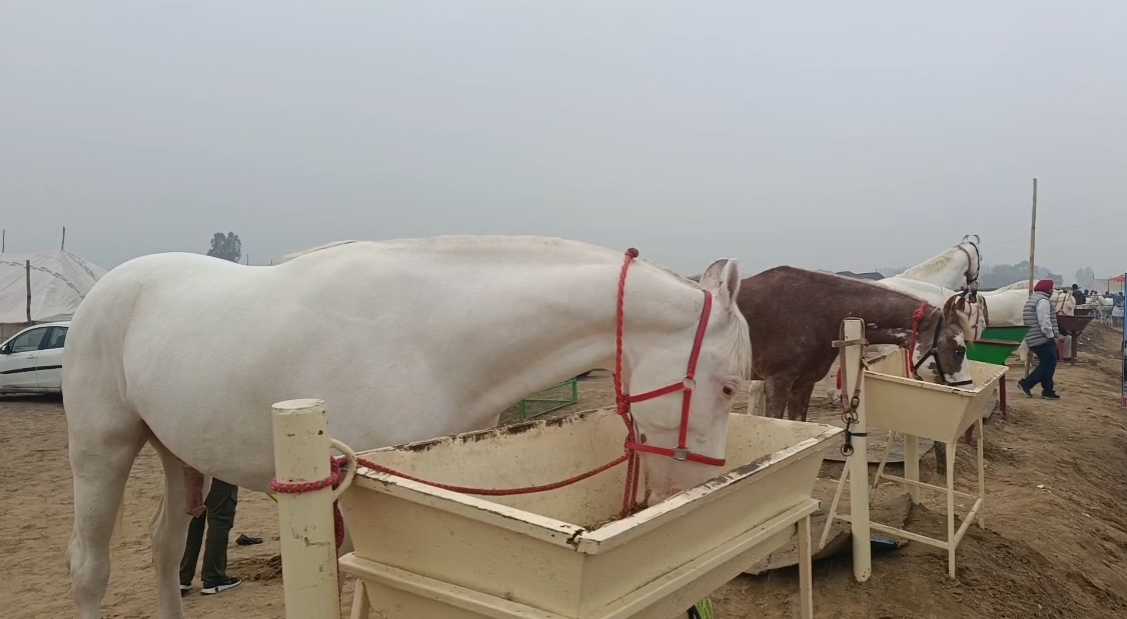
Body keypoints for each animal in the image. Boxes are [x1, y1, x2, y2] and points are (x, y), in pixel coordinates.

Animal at [59, 234, 748, 613]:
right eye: (729, 386)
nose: (695, 491)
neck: (436, 340)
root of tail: (104, 292)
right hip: (101, 450)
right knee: (89, 568)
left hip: (176, 452)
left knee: (164, 547)